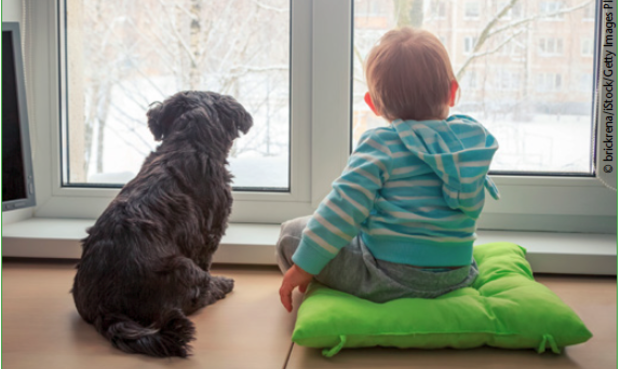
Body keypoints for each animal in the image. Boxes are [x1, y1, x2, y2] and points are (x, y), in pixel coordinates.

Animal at [73, 91, 254, 356]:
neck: (187, 143)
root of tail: (104, 307)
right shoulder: (209, 235)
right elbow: (207, 264)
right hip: (183, 267)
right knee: (198, 293)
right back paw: (221, 285)